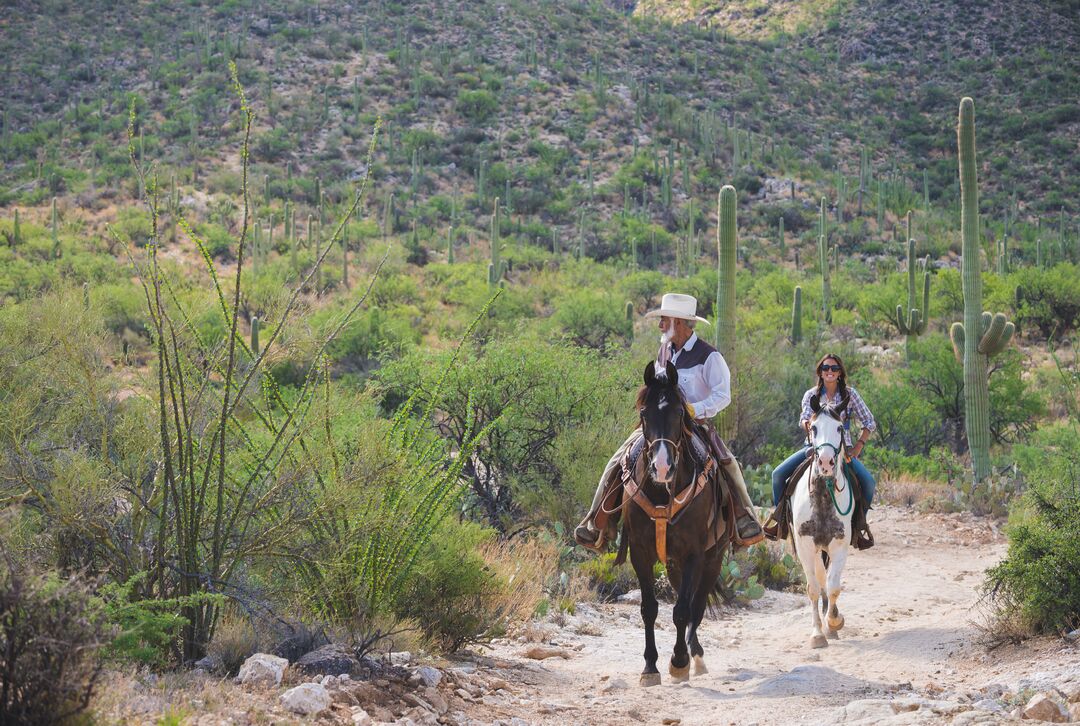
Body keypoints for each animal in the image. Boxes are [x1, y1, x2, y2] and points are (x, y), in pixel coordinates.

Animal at [626, 360, 725, 687]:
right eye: (644, 413)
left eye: (680, 413)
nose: (662, 467)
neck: (661, 493)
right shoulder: (639, 552)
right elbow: (649, 608)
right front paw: (650, 666)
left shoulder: (694, 553)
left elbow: (682, 610)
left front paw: (679, 662)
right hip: (673, 564)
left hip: (713, 559)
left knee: (697, 604)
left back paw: (695, 656)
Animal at [790, 393, 855, 648]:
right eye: (814, 427)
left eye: (840, 427)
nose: (826, 463)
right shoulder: (806, 546)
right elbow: (814, 589)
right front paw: (817, 634)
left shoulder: (839, 545)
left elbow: (834, 586)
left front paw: (834, 622)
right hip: (815, 549)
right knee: (819, 578)